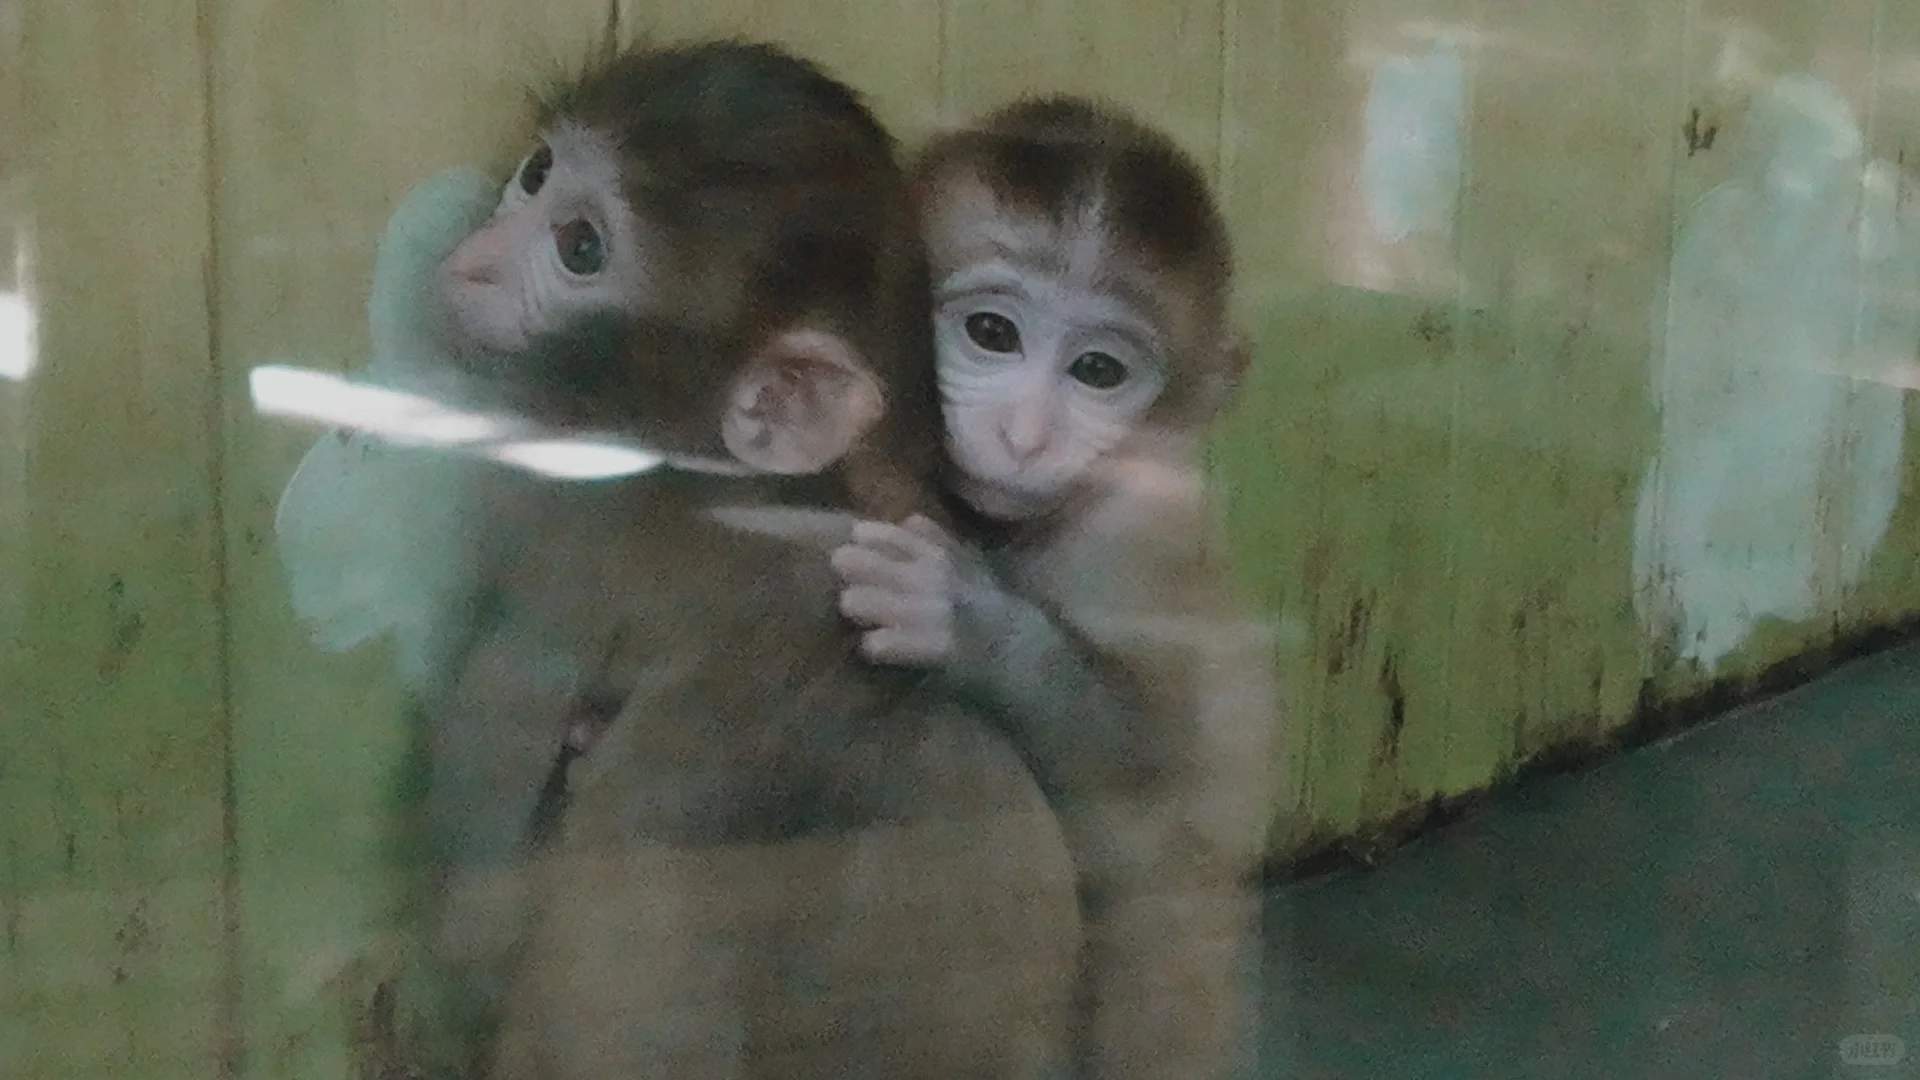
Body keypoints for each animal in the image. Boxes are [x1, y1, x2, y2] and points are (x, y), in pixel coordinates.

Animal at [829, 98, 1274, 1076]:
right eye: (992, 334)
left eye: (1098, 372)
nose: (1026, 436)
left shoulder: (1140, 534)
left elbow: (1145, 780)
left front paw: (963, 620)